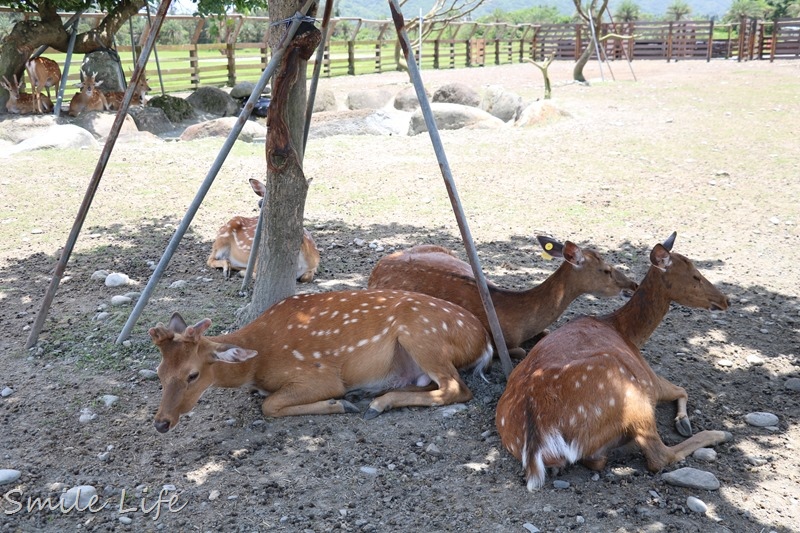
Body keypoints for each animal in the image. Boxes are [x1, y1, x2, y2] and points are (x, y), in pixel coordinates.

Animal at [147, 286, 490, 432]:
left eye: (192, 374)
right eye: (159, 372)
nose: (161, 423)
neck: (257, 363)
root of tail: (483, 341)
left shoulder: (318, 374)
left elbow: (269, 405)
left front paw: (338, 404)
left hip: (422, 334)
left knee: (456, 388)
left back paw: (375, 404)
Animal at [368, 238, 636, 358]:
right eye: (606, 270)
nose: (632, 284)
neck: (520, 320)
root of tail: (377, 267)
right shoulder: (500, 344)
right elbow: (521, 351)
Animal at [496, 231, 736, 488]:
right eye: (695, 275)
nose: (726, 300)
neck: (625, 331)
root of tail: (536, 448)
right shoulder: (650, 378)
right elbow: (682, 389)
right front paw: (684, 422)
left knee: (598, 459)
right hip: (633, 396)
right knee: (658, 456)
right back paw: (719, 434)